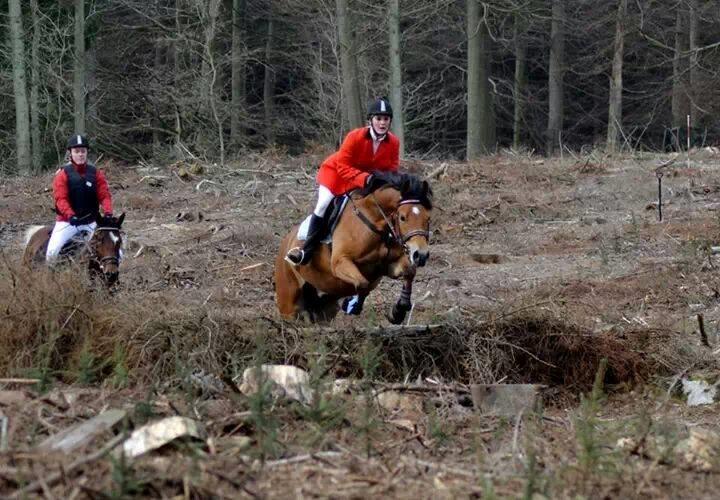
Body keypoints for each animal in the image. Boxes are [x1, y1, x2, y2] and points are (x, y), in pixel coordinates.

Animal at [276, 176, 434, 324]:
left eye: (428, 218)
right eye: (402, 217)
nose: (421, 255)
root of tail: (286, 242)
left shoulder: (389, 265)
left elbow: (409, 273)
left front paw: (398, 312)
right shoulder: (340, 263)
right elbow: (363, 283)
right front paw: (352, 305)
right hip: (288, 301)